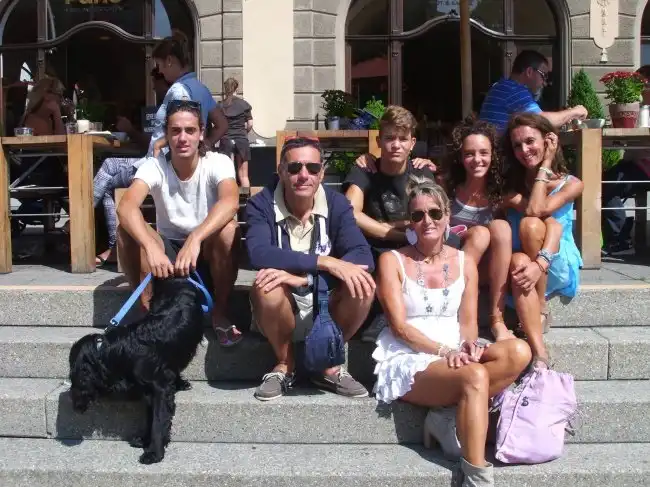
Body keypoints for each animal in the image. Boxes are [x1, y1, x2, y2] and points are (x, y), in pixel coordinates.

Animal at [68, 276, 206, 464]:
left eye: (75, 377)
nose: (75, 406)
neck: (119, 351)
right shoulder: (148, 389)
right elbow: (150, 416)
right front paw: (144, 440)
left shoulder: (159, 388)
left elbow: (158, 419)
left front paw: (154, 453)